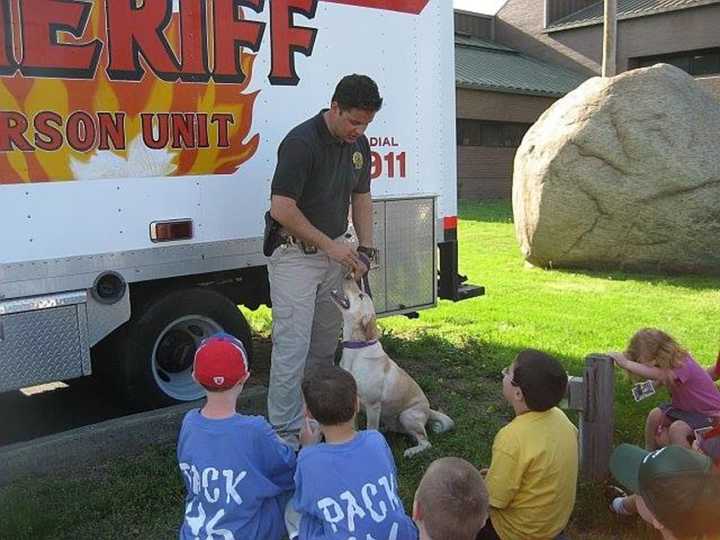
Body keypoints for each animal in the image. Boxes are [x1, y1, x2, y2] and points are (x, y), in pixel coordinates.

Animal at [330, 274, 452, 456]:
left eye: (361, 295)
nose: (348, 275)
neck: (356, 350)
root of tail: (428, 410)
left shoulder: (373, 406)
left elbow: (370, 427)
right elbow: (354, 428)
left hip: (407, 416)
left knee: (425, 441)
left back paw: (411, 451)